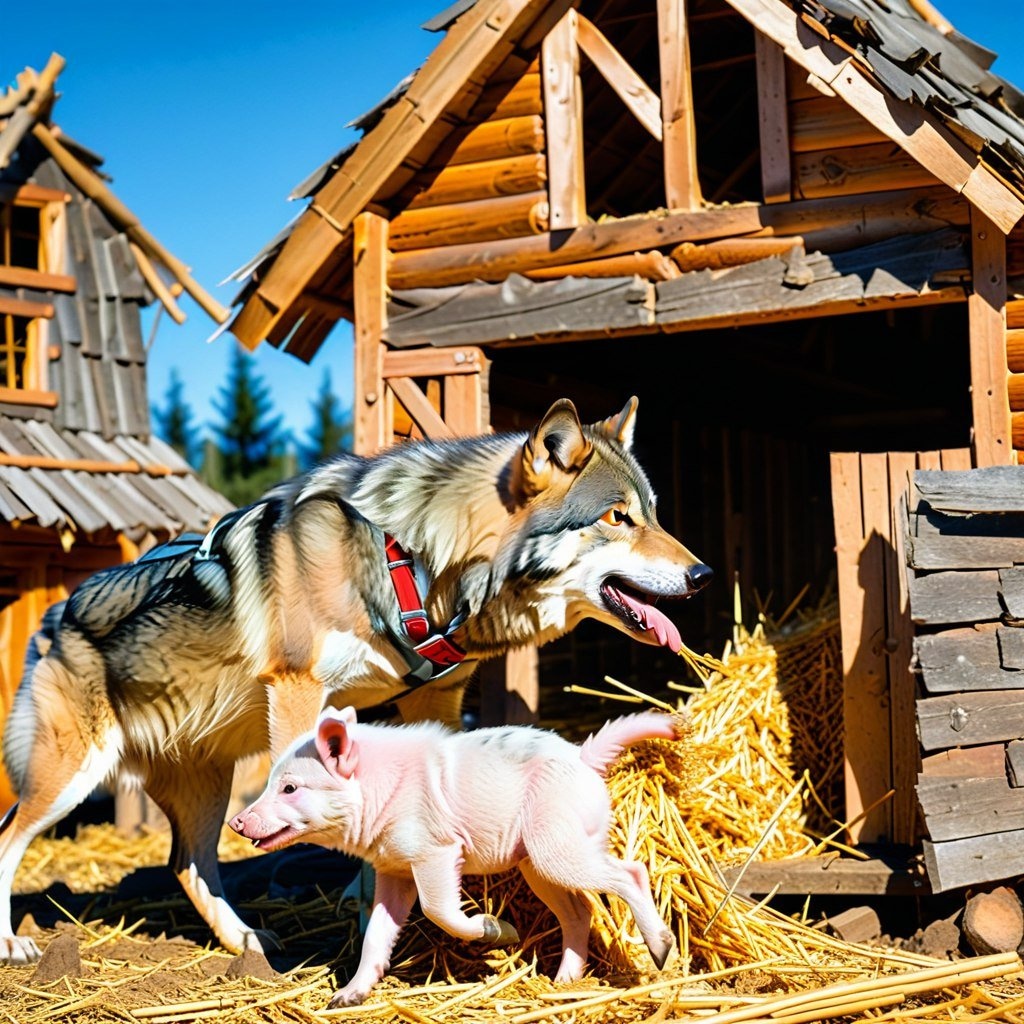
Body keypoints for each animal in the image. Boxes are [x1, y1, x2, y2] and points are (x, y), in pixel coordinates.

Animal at [0, 396, 711, 965]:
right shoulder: (300, 691)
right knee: (11, 837)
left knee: (188, 865)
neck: (409, 560)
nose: (703, 575)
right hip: (68, 780)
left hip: (205, 784)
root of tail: (53, 617)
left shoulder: (432, 702)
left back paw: (249, 944)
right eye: (616, 517)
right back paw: (15, 947)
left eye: (652, 513)